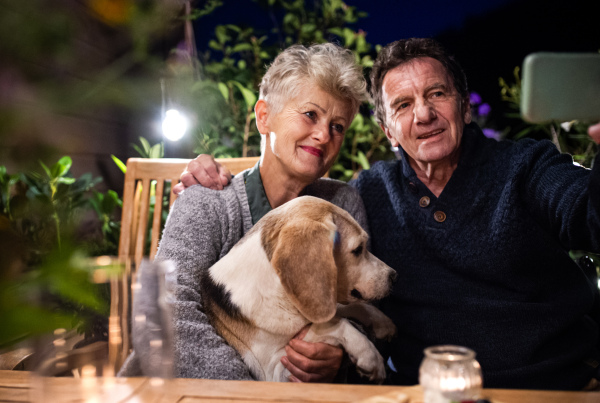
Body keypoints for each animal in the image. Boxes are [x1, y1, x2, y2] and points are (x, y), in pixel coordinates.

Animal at [202, 197, 398, 384]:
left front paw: (381, 321)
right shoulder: (275, 373)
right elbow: (333, 323)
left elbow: (344, 309)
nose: (394, 276)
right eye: (357, 249)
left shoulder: (319, 303)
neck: (277, 293)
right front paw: (369, 354)